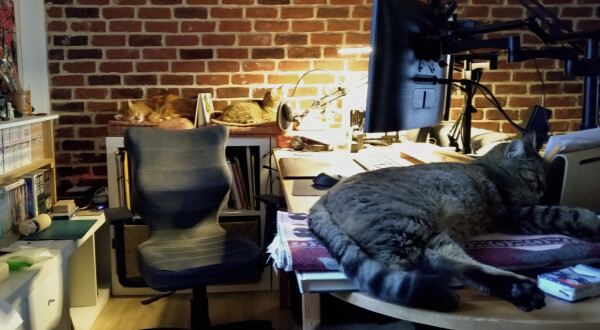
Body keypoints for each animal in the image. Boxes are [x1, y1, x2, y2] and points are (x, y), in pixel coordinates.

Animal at [310, 133, 600, 312]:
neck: (487, 169)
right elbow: (564, 213)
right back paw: (436, 296)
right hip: (405, 224)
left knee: (449, 262)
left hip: (428, 233)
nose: (544, 191)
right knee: (391, 273)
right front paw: (593, 221)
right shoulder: (512, 214)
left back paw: (517, 290)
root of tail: (323, 198)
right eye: (535, 178)